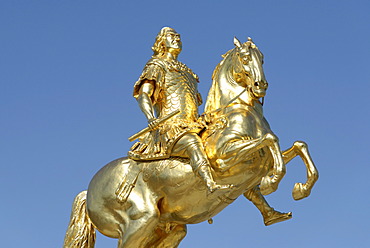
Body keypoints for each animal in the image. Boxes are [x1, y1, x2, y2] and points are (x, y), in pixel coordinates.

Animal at [63, 36, 318, 248]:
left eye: (262, 57)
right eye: (246, 57)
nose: (260, 86)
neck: (237, 111)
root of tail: (89, 190)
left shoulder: (261, 161)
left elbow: (298, 146)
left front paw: (300, 189)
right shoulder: (224, 159)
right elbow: (269, 139)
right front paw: (271, 182)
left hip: (168, 230)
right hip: (140, 222)